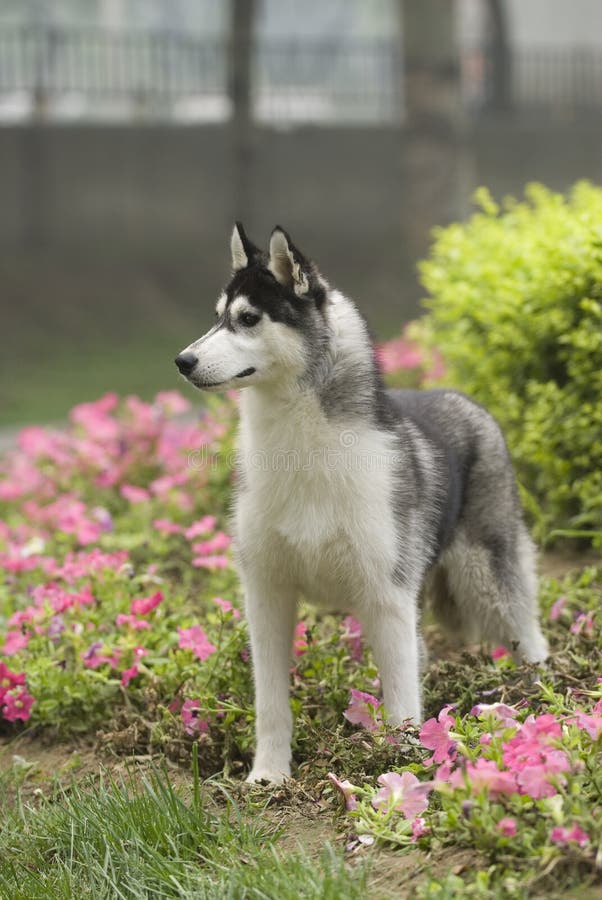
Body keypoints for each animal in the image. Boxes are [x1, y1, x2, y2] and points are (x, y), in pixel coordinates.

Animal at [175, 223, 548, 780]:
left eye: (248, 319)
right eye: (218, 315)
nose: (182, 361)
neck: (301, 451)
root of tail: (462, 397)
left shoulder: (386, 596)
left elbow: (401, 701)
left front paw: (400, 767)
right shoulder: (267, 595)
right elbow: (270, 703)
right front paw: (269, 775)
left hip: (486, 582)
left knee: (525, 630)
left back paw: (545, 685)